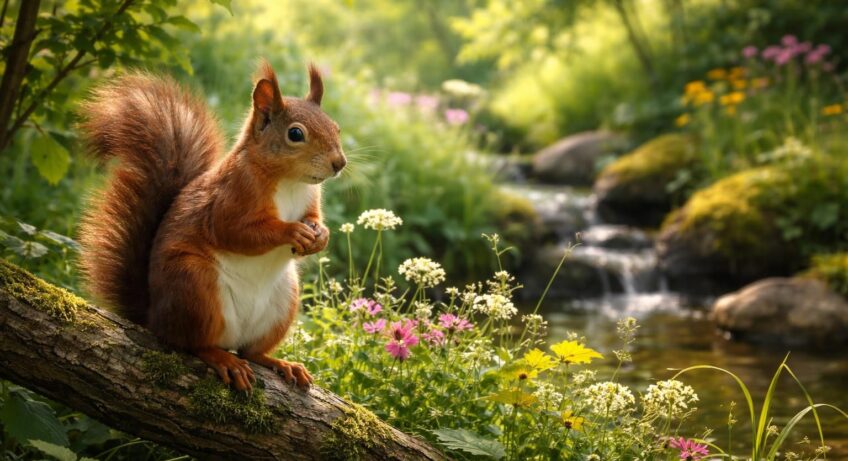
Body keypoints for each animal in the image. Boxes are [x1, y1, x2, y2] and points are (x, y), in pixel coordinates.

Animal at [77, 61, 346, 391]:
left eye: (336, 127)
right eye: (295, 134)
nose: (339, 163)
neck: (290, 181)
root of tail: (153, 317)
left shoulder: (311, 200)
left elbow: (314, 218)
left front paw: (321, 235)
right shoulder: (230, 199)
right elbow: (237, 232)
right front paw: (292, 231)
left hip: (284, 301)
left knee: (252, 351)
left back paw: (281, 363)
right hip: (195, 286)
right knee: (191, 343)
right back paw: (222, 359)